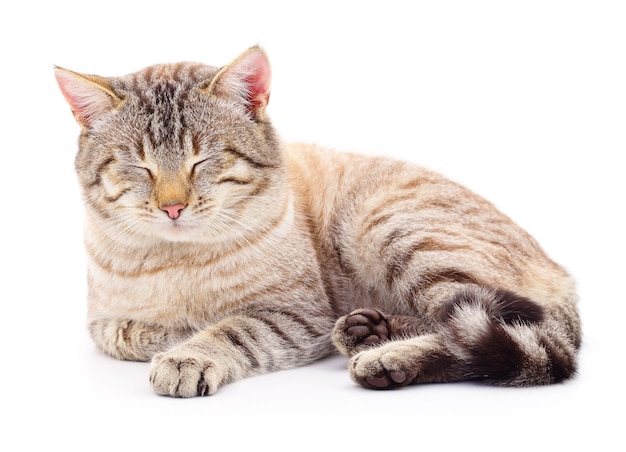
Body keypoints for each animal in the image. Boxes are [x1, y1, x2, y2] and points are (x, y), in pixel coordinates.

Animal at [54, 46, 580, 398]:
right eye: (139, 166)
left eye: (202, 161)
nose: (172, 207)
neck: (176, 258)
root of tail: (563, 274)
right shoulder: (100, 321)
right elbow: (124, 333)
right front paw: (175, 333)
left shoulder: (297, 316)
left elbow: (229, 330)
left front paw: (189, 353)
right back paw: (369, 331)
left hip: (393, 231)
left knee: (520, 337)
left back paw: (386, 356)